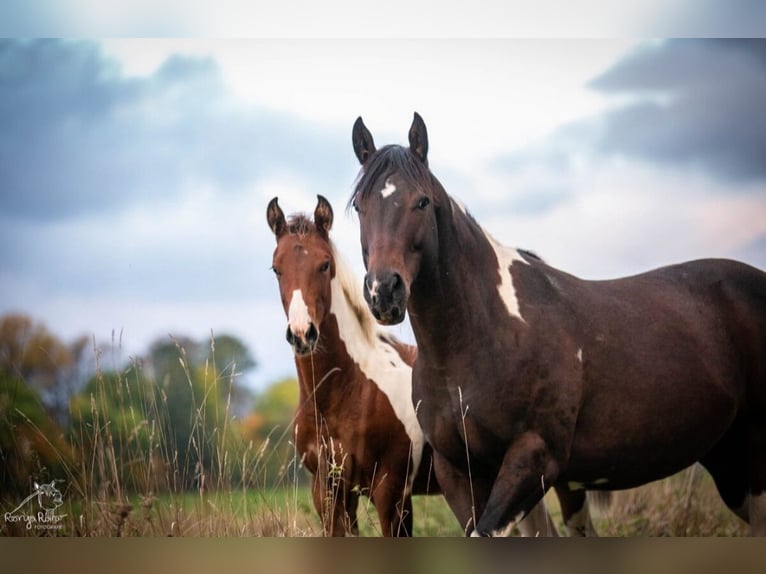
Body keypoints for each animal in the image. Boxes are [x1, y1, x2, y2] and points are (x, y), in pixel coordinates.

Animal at [350, 113, 766, 540]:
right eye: (360, 207)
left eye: (421, 202)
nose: (384, 291)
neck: (478, 339)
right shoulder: (458, 472)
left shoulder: (535, 458)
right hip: (728, 457)